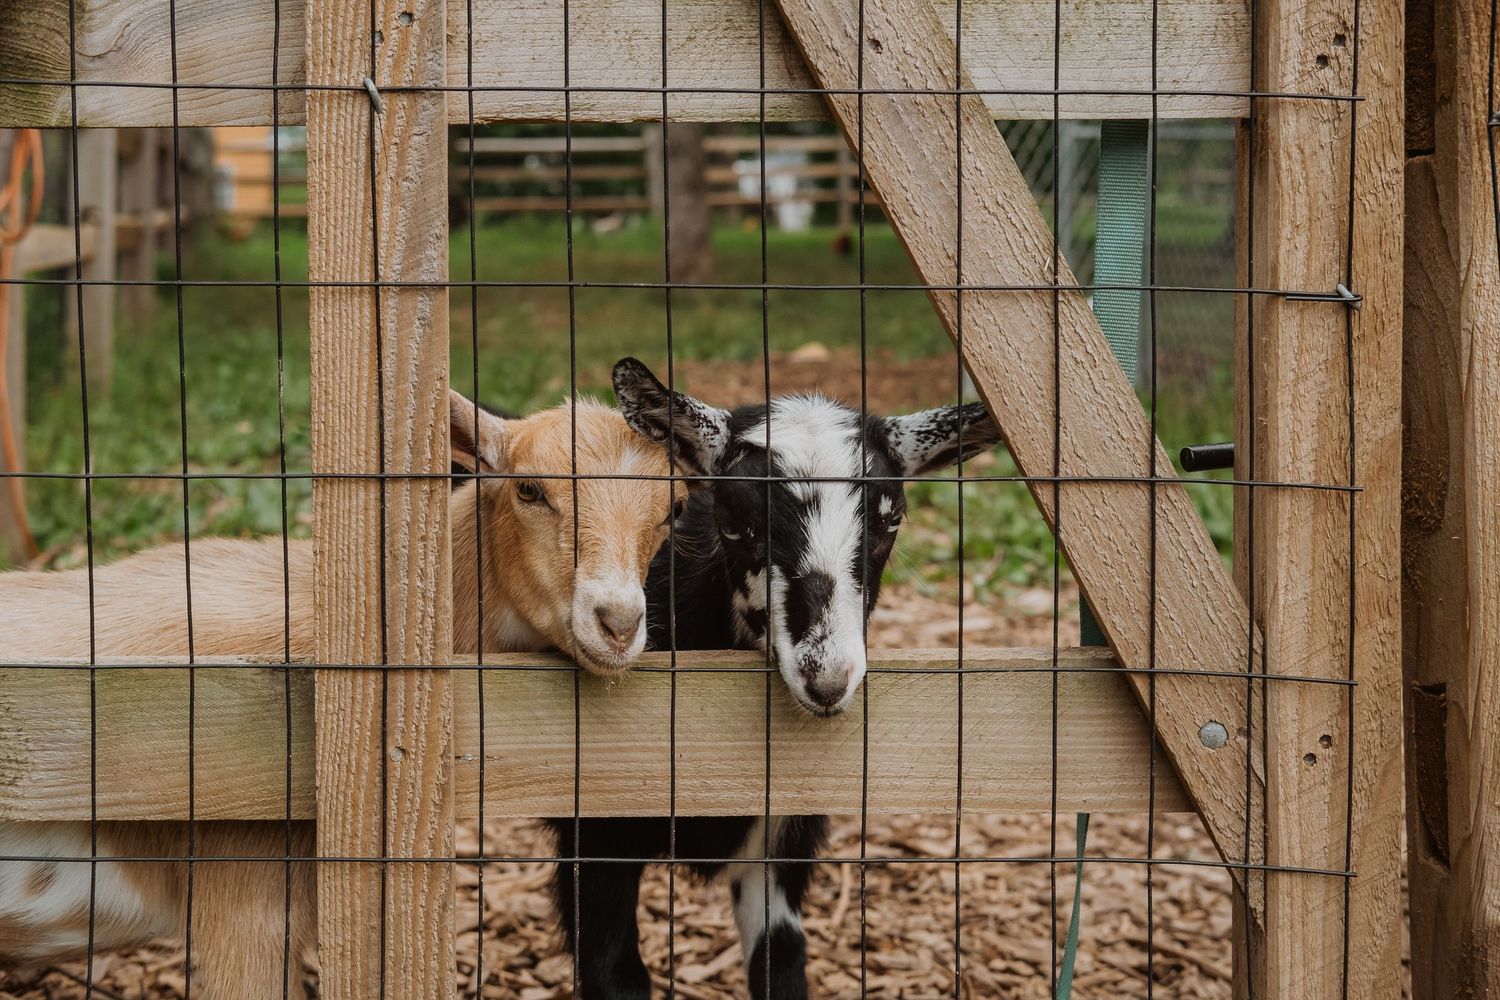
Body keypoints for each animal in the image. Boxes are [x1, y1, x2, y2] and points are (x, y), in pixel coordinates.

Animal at [546, 358, 1002, 999]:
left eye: (890, 521)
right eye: (735, 523)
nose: (827, 678)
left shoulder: (779, 847)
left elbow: (781, 961)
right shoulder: (595, 842)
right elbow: (616, 973)